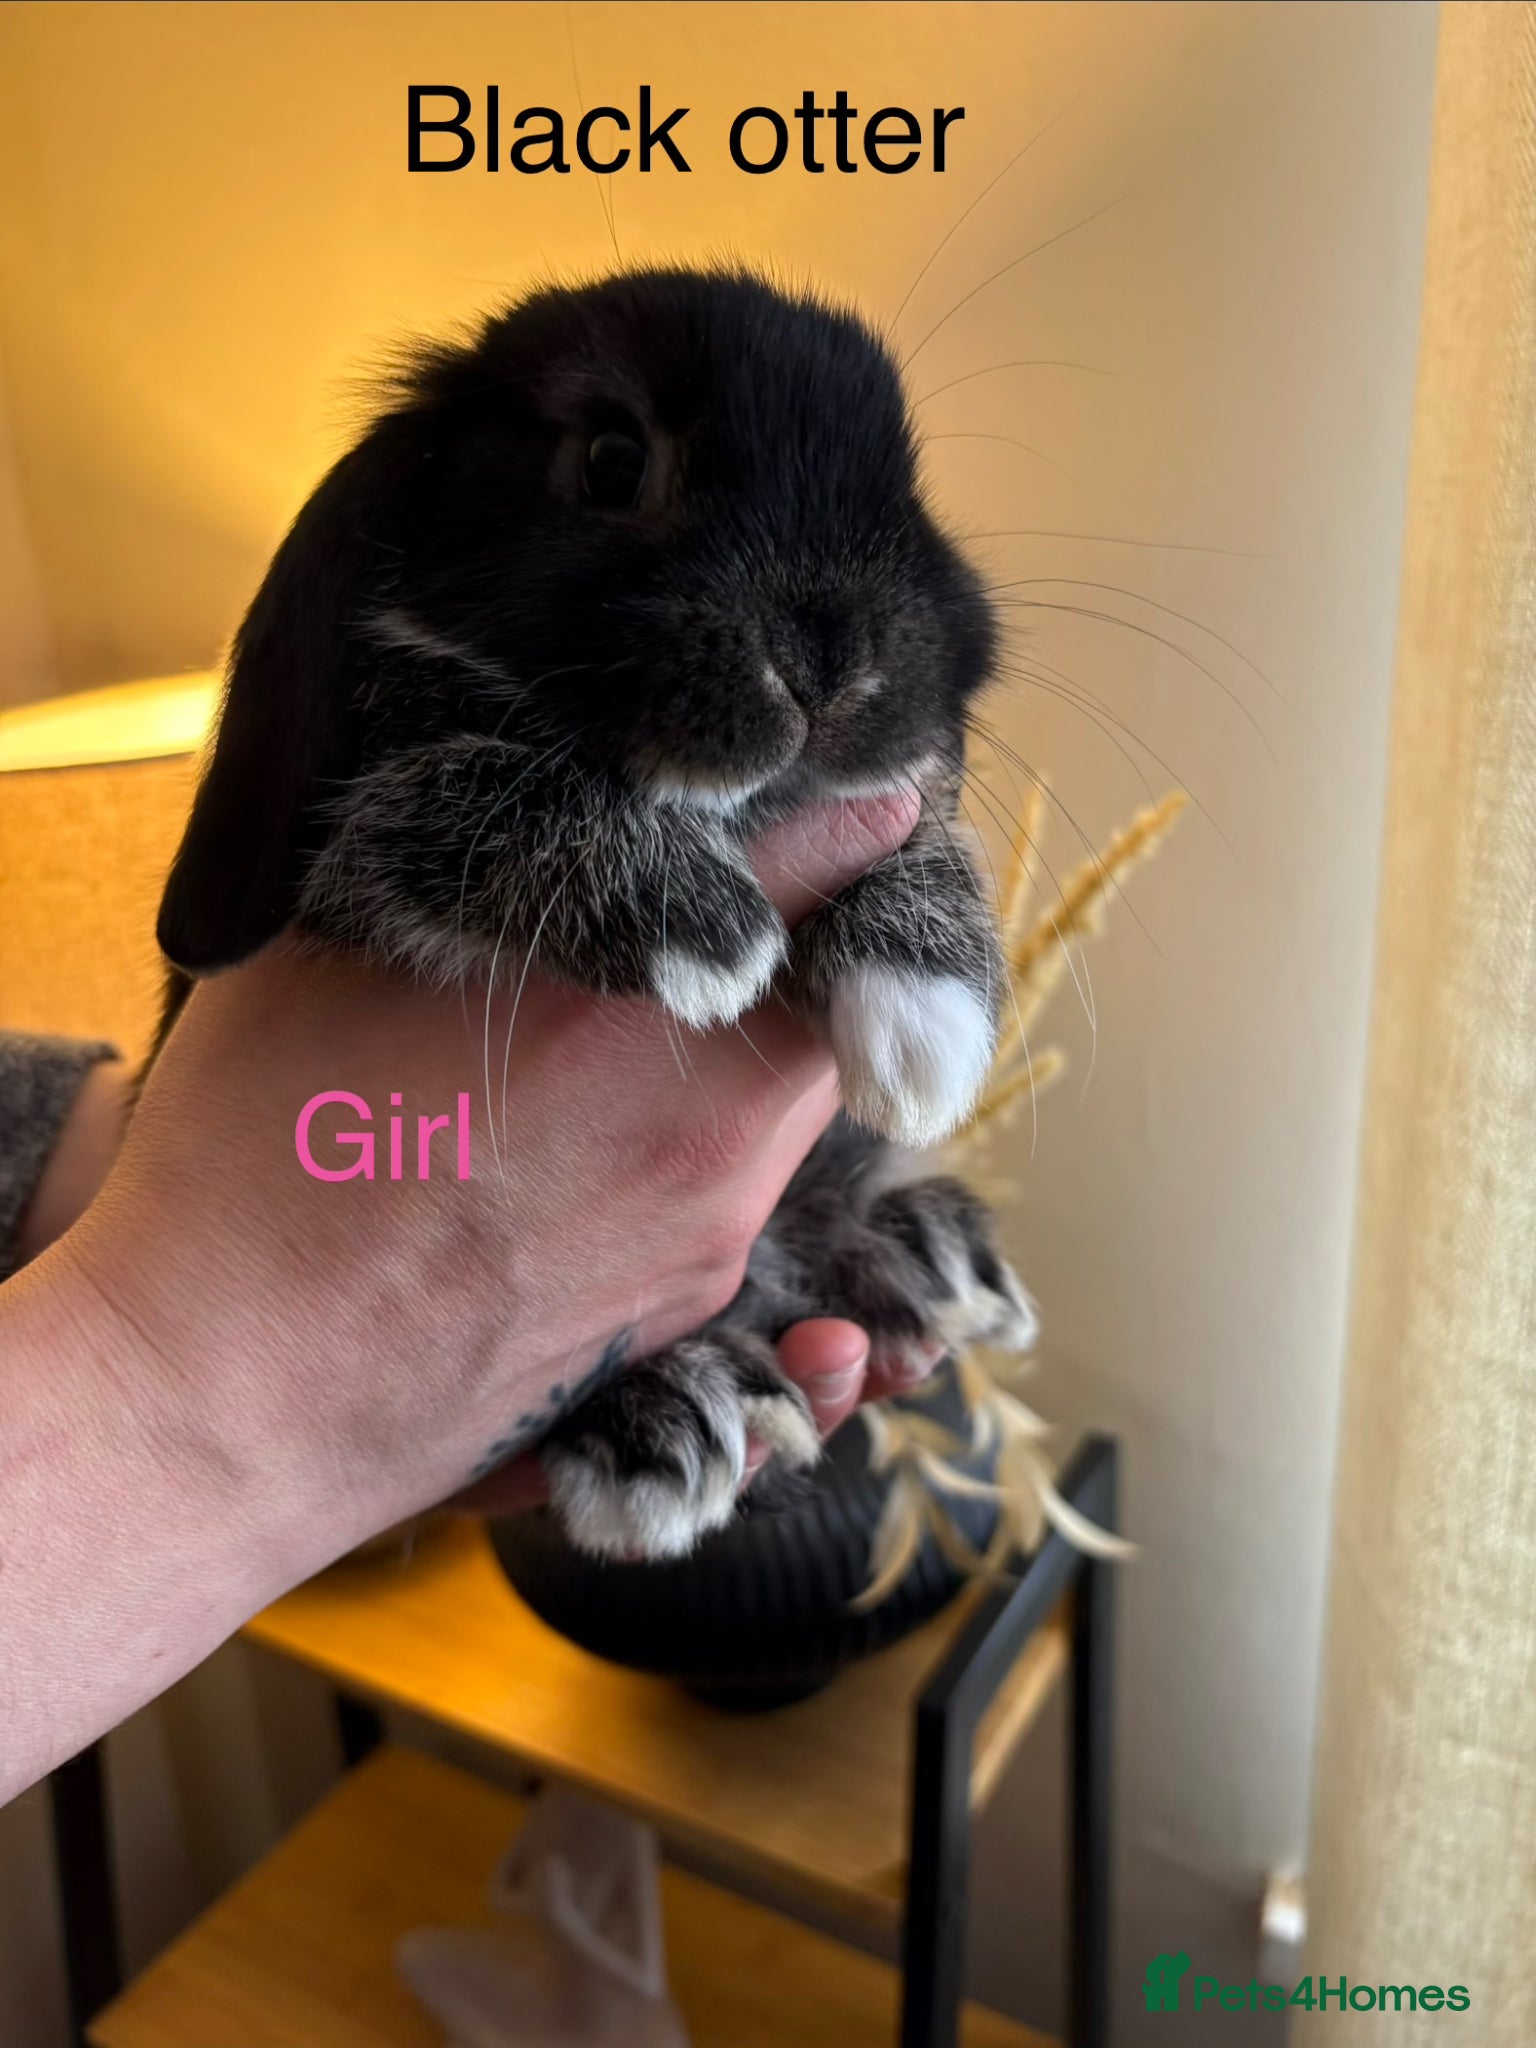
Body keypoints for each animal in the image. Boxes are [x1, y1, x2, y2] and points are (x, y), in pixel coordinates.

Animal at [154, 266, 1038, 1560]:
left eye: (909, 484)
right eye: (613, 460)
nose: (831, 658)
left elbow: (916, 824)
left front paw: (926, 1010)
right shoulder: (356, 859)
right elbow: (449, 793)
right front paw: (703, 925)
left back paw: (931, 1254)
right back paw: (669, 1422)